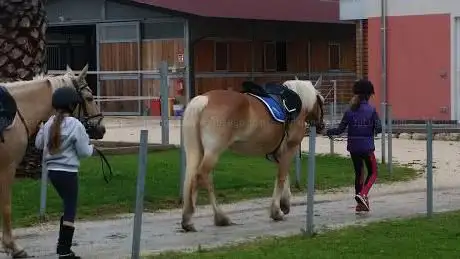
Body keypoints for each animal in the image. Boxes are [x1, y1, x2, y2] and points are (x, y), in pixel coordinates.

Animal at [181, 78, 326, 233]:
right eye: (321, 100)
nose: (322, 126)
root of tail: (204, 99)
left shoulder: (278, 153)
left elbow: (285, 175)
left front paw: (285, 204)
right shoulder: (289, 149)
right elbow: (281, 177)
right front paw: (277, 211)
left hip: (197, 150)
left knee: (193, 178)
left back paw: (188, 219)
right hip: (213, 151)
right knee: (202, 177)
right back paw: (220, 217)